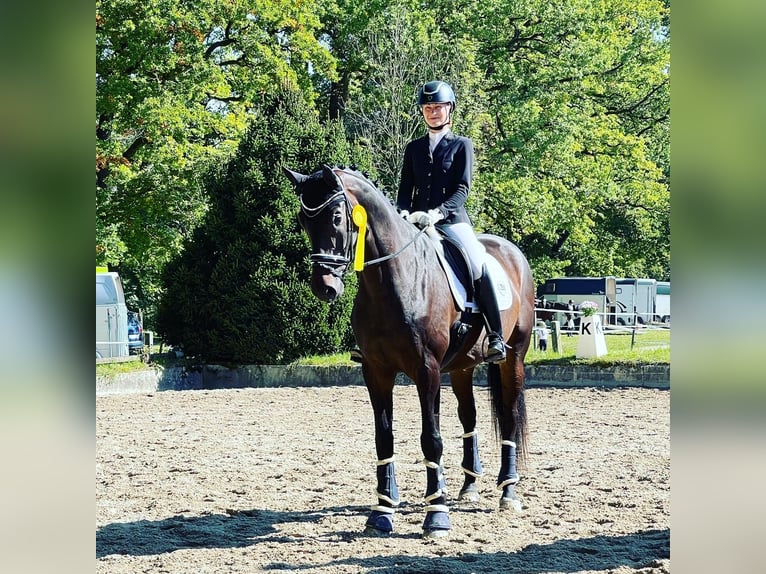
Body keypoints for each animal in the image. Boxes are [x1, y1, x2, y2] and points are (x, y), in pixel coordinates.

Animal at [284, 163, 536, 540]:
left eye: (336, 218)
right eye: (303, 220)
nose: (324, 287)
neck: (393, 279)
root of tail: (512, 252)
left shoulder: (426, 370)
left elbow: (431, 439)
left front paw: (436, 516)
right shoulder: (376, 372)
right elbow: (384, 437)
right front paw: (382, 511)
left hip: (513, 357)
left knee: (509, 417)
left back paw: (508, 492)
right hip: (462, 367)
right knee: (469, 417)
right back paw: (468, 487)